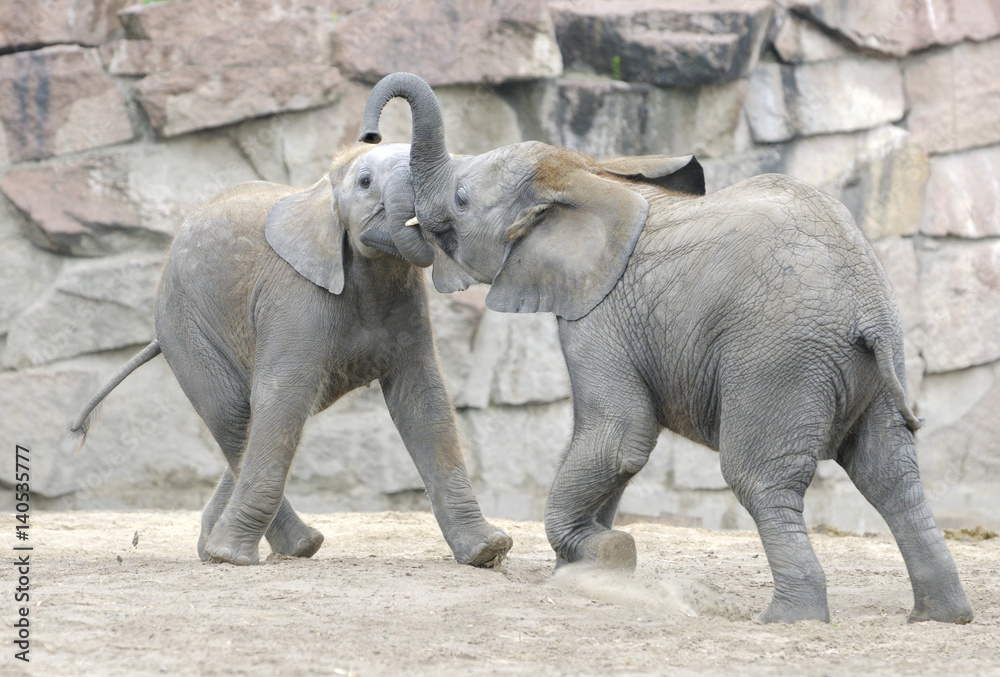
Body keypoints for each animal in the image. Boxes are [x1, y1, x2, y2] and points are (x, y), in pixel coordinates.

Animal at [70, 141, 512, 568]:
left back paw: (216, 548)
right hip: (184, 326)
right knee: (234, 415)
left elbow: (423, 401)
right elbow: (283, 397)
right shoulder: (296, 298)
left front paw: (489, 551)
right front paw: (234, 557)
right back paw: (287, 547)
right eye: (365, 182)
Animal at [355, 72, 974, 624]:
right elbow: (615, 448)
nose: (369, 135)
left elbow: (617, 437)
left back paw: (788, 619)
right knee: (892, 477)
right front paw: (588, 564)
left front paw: (602, 553)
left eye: (461, 199)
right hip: (874, 367)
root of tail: (867, 307)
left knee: (761, 479)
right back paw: (940, 616)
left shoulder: (597, 315)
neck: (587, 174)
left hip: (780, 359)